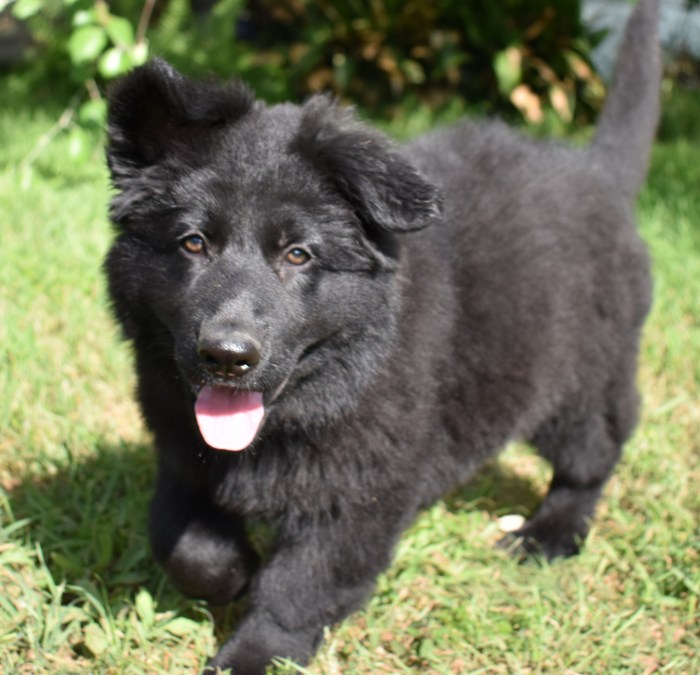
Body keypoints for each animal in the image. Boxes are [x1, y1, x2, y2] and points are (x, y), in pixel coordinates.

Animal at [104, 0, 660, 672]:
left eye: (298, 254)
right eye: (193, 243)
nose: (227, 357)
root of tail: (596, 171)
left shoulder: (361, 490)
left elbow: (301, 585)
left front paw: (256, 652)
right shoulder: (180, 448)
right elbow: (182, 542)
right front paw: (234, 572)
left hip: (582, 373)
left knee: (593, 453)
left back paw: (549, 532)